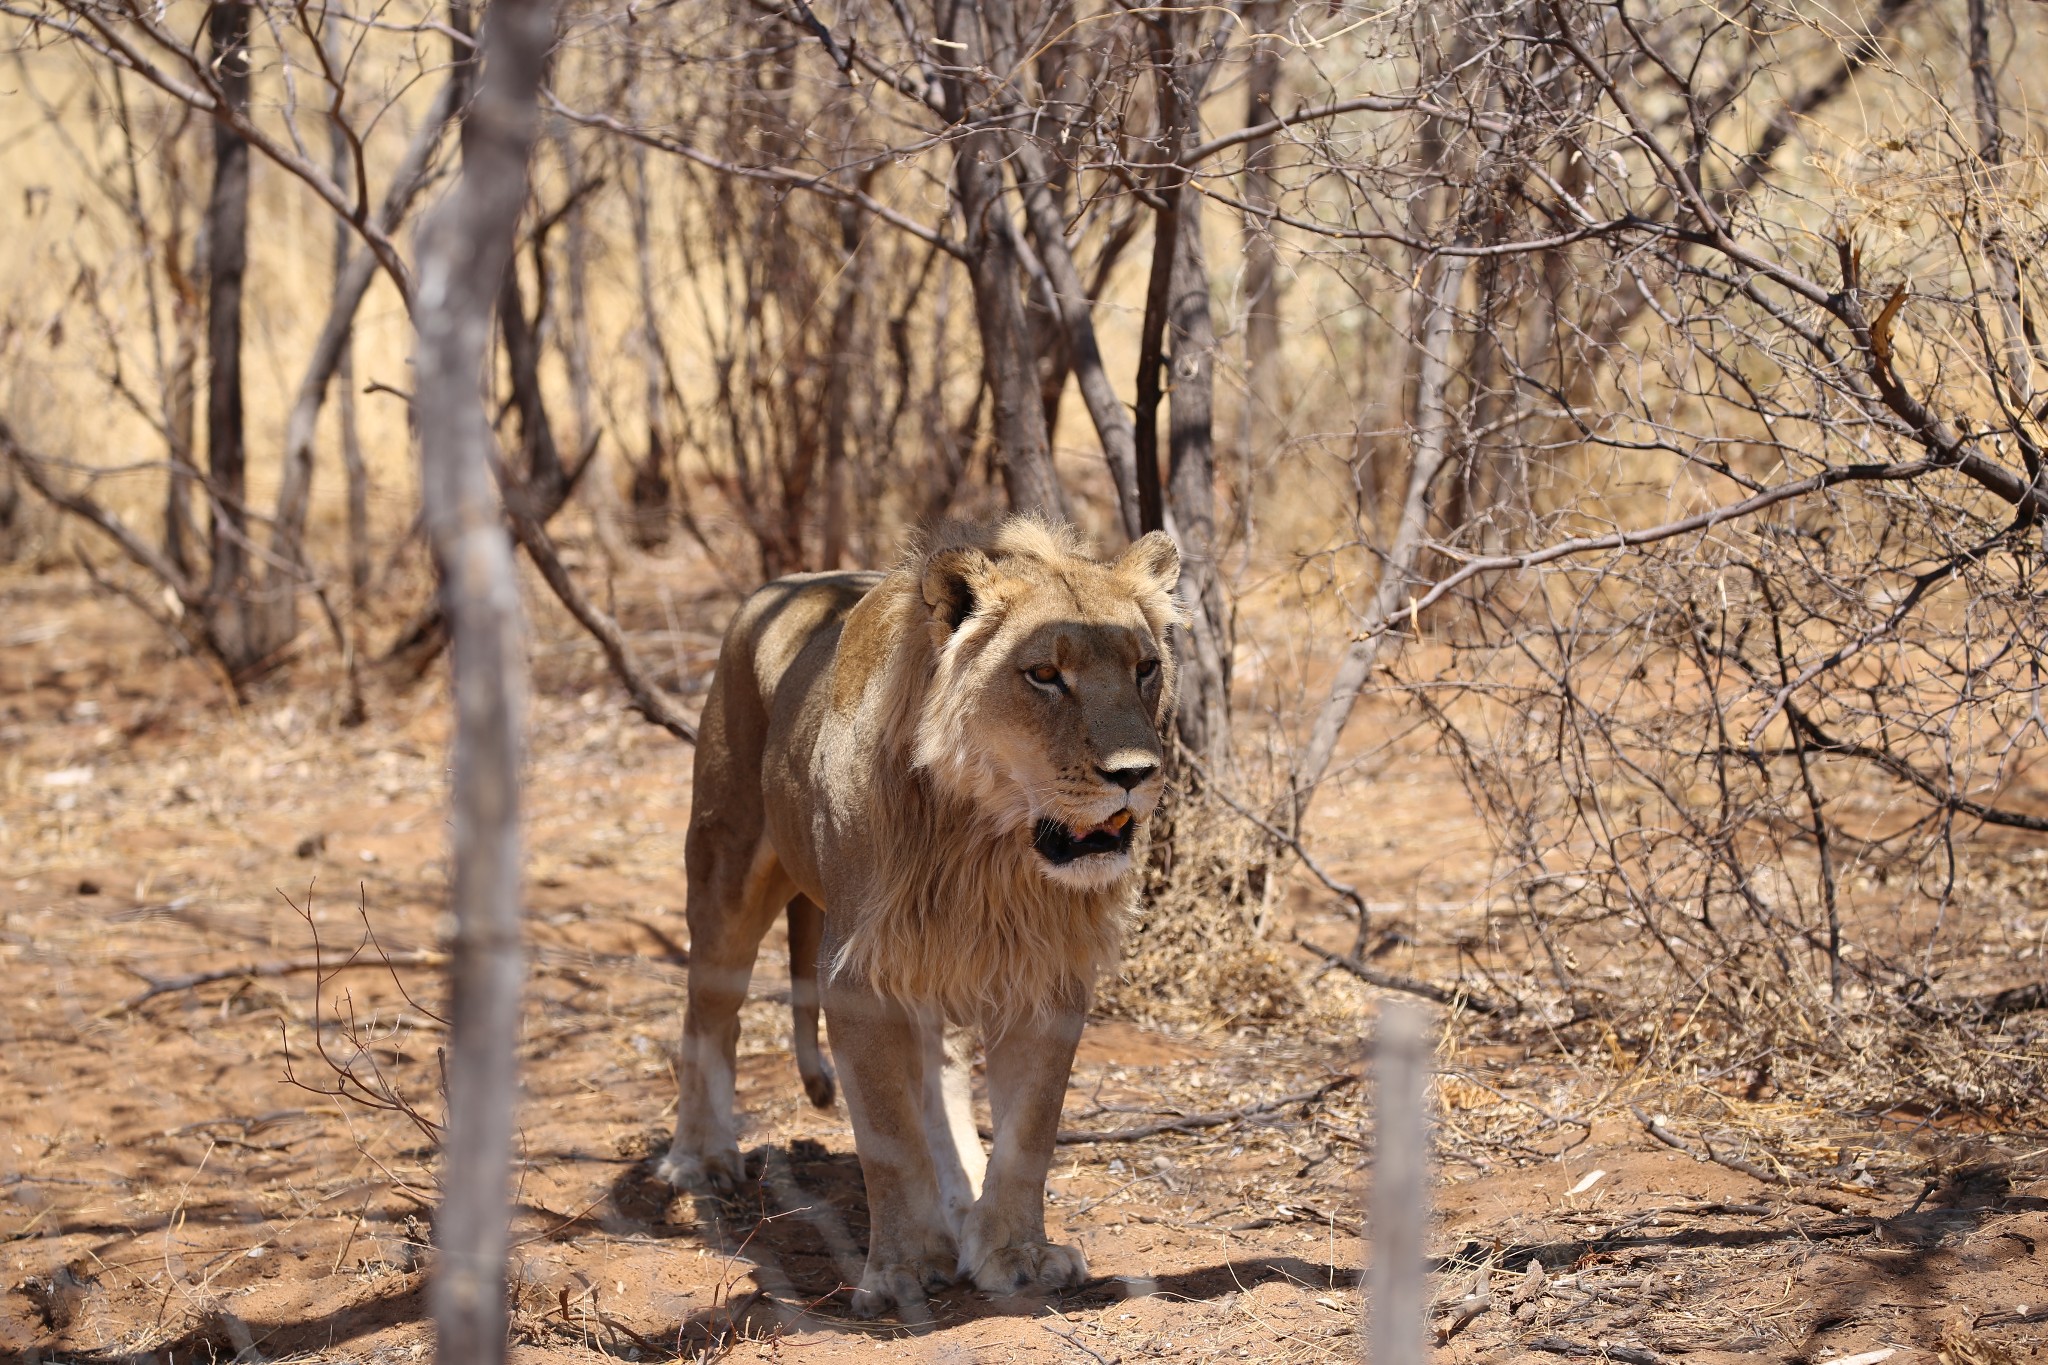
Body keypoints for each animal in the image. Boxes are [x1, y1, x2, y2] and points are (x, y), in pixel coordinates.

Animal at [659, 517, 1187, 1317]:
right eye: (1044, 675)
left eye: (1145, 667)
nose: (1135, 775)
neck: (987, 843)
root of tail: (787, 582)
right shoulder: (855, 971)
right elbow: (887, 1131)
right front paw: (905, 1266)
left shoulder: (1049, 971)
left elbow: (1029, 1131)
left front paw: (1015, 1254)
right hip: (725, 863)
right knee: (711, 1009)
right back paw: (701, 1157)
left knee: (941, 1067)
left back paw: (960, 1194)